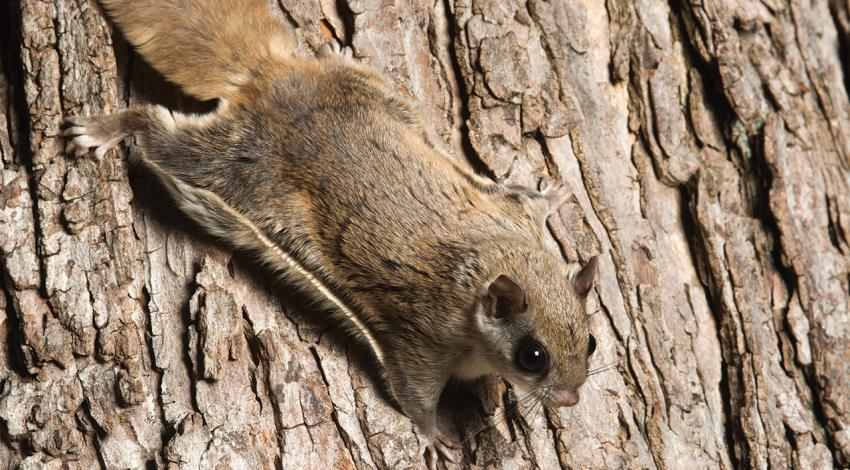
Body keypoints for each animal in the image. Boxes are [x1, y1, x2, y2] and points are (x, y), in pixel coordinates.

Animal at [64, 0, 596, 464]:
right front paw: (432, 435)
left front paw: (552, 197)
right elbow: (414, 393)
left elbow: (525, 201)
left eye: (590, 343)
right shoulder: (422, 337)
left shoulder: (510, 216)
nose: (571, 399)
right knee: (156, 130)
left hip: (369, 90)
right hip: (225, 165)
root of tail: (266, 76)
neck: (493, 261)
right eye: (532, 356)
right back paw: (109, 128)